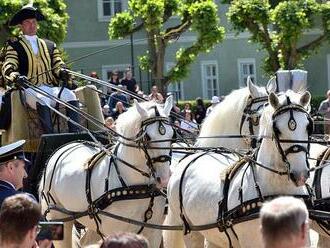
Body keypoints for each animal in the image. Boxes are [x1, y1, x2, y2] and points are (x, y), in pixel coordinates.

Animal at [39, 96, 174, 248]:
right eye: (147, 137)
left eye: (172, 135)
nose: (164, 179)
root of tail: (64, 148)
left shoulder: (154, 233)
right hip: (59, 219)